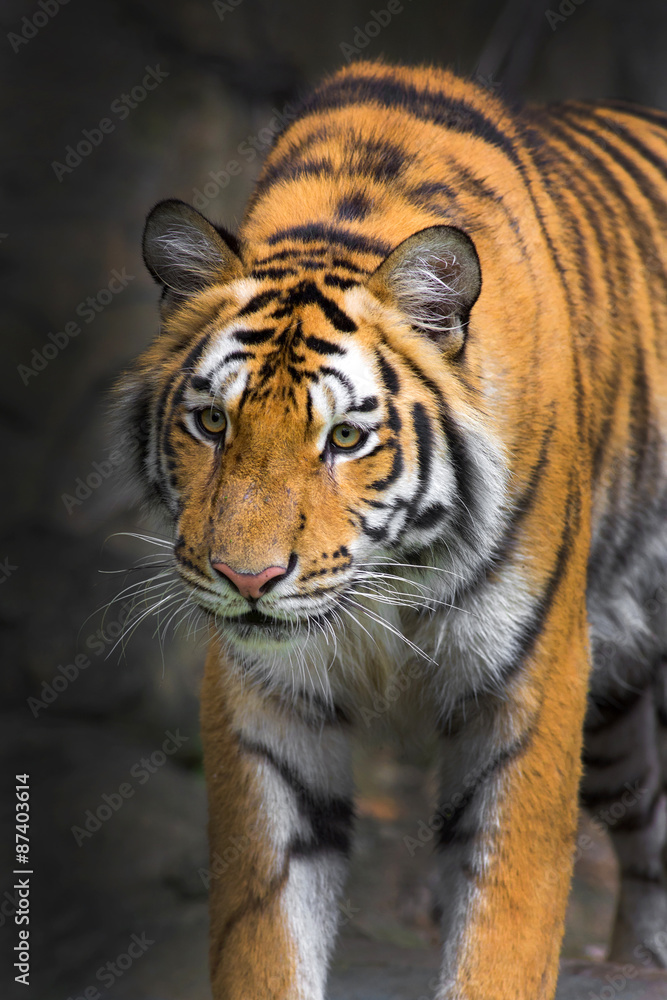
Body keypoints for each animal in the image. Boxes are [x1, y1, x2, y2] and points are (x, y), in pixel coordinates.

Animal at [115, 60, 667, 999]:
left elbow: (504, 919)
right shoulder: (265, 697)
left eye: (344, 438)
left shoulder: (532, 680)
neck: (392, 575)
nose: (247, 580)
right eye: (212, 424)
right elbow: (267, 926)